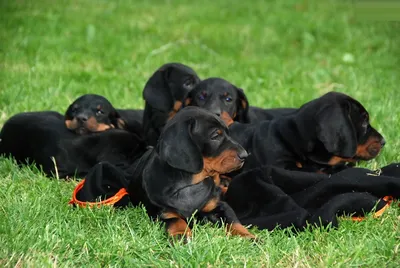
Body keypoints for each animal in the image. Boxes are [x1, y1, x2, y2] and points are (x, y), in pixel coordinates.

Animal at [126, 107, 255, 241]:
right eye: (215, 136)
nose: (245, 155)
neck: (191, 184)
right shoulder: (162, 213)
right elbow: (175, 221)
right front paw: (181, 235)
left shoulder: (219, 206)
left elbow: (233, 221)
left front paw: (248, 236)